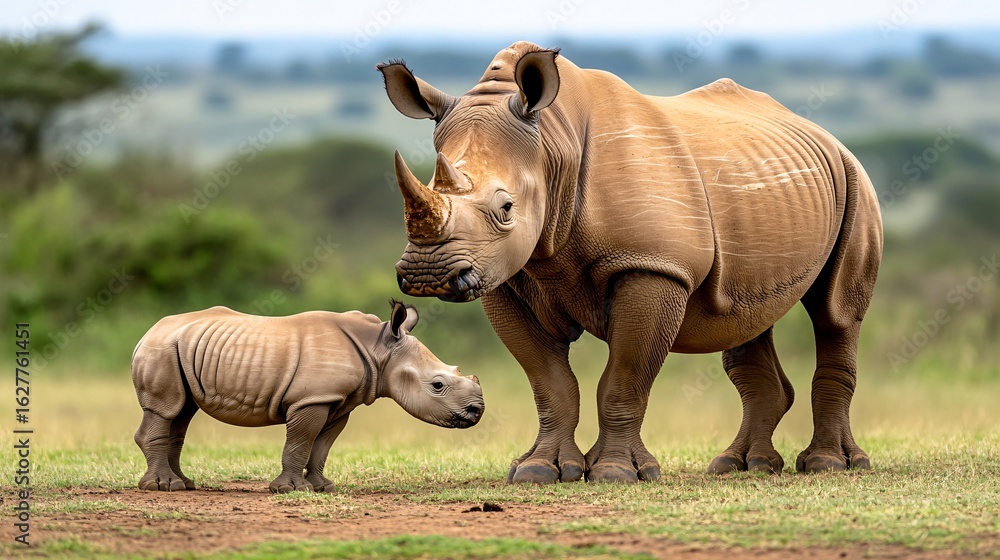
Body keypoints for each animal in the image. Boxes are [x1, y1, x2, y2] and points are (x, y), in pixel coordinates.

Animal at [132, 301, 484, 493]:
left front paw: (322, 487)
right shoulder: (312, 399)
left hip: (181, 349)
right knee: (165, 410)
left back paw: (184, 483)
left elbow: (322, 445)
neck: (380, 349)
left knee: (181, 412)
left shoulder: (338, 400)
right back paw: (163, 486)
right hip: (162, 349)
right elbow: (300, 442)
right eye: (437, 385)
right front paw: (290, 490)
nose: (477, 412)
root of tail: (147, 331)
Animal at [377, 42, 882, 483]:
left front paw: (617, 473)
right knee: (747, 318)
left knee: (836, 313)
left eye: (506, 208)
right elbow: (550, 382)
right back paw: (742, 467)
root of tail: (822, 133)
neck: (552, 145)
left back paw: (830, 465)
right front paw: (539, 471)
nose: (426, 275)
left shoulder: (652, 266)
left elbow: (623, 379)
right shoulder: (505, 277)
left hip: (856, 179)